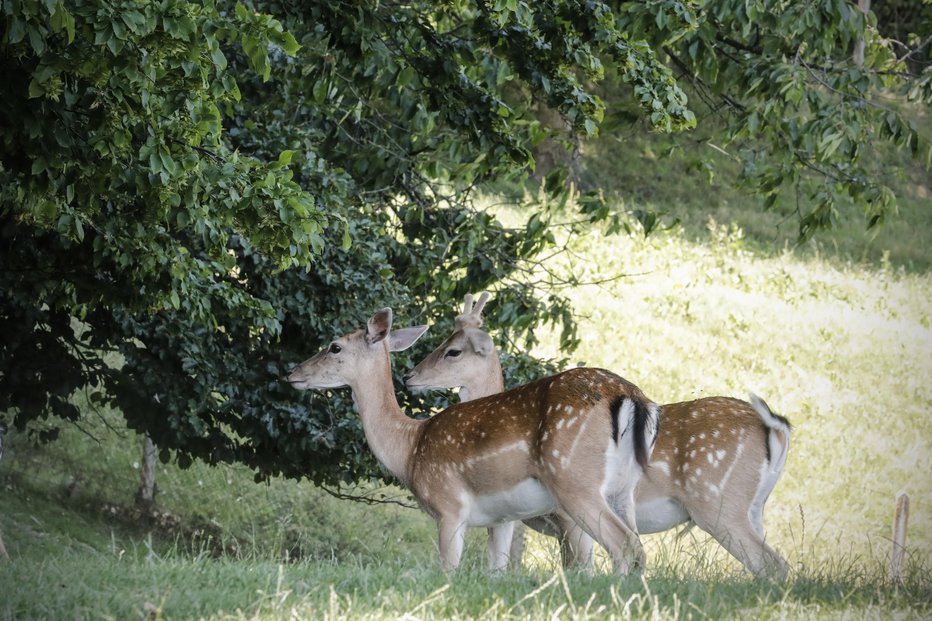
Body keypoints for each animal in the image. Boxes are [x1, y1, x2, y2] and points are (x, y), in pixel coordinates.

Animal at [292, 306, 664, 572]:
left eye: (335, 346)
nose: (293, 373)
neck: (409, 448)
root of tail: (631, 395)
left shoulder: (449, 506)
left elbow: (448, 570)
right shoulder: (502, 519)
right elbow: (495, 571)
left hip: (574, 481)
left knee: (624, 548)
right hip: (623, 489)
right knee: (635, 550)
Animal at [404, 294, 792, 580]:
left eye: (453, 351)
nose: (410, 376)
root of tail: (777, 431)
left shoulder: (563, 516)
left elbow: (581, 567)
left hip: (715, 503)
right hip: (753, 507)